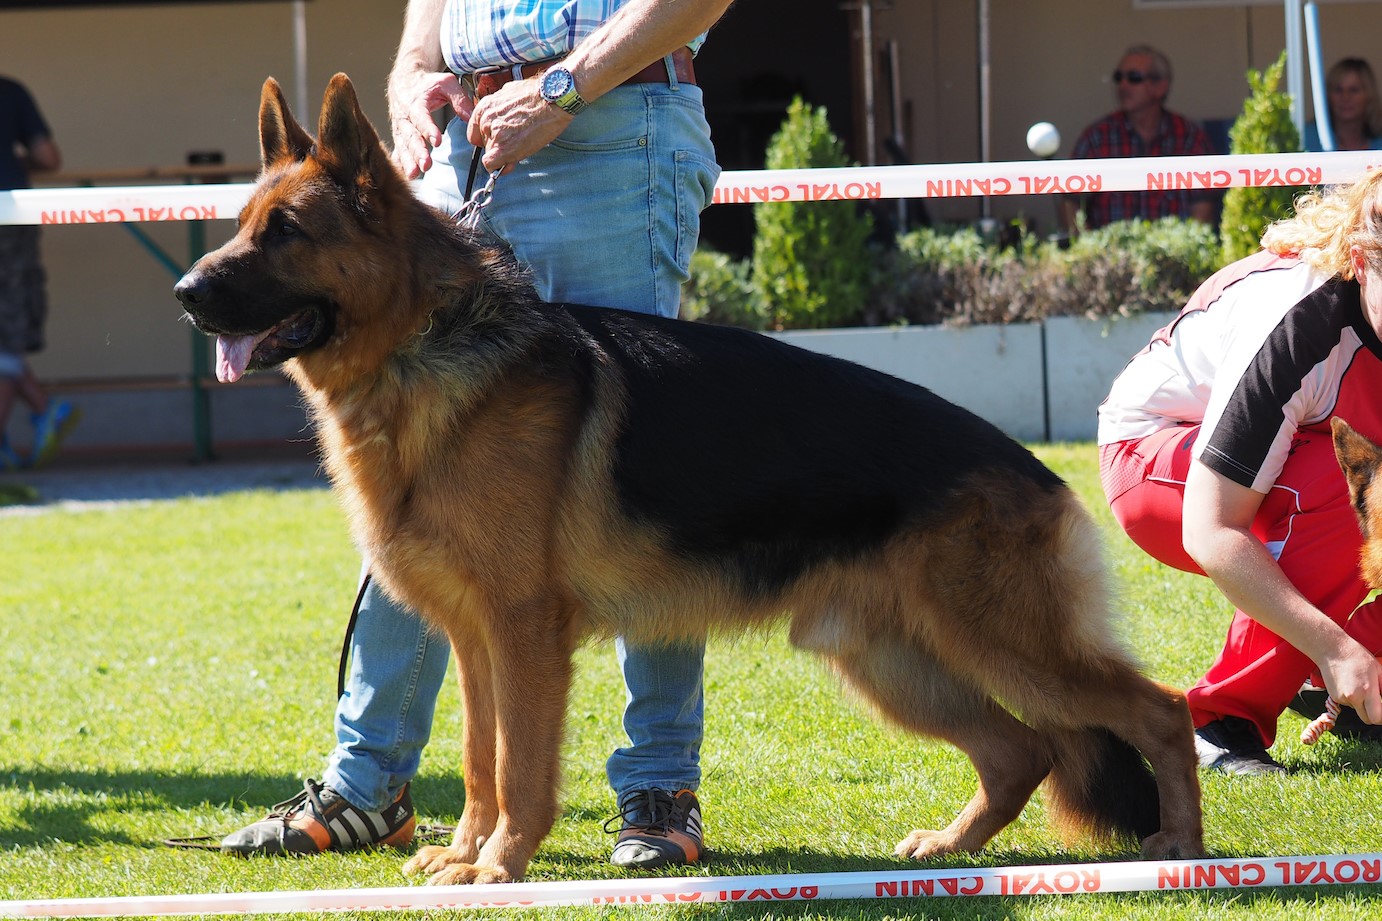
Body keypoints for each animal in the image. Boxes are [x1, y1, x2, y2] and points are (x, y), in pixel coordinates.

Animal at [175, 77, 1199, 885]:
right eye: (241, 226)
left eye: (286, 232)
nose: (185, 294)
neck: (425, 346)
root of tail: (1035, 470)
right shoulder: (473, 641)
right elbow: (476, 758)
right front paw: (467, 852)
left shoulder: (524, 635)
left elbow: (521, 767)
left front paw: (501, 865)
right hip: (895, 661)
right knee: (1021, 748)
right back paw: (951, 847)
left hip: (1002, 645)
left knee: (1158, 711)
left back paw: (1181, 848)